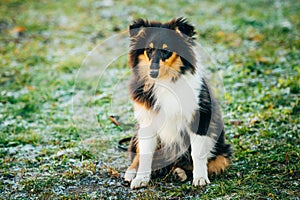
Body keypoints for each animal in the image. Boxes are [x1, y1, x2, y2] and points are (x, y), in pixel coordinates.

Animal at [123, 17, 231, 189]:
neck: (166, 82)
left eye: (167, 51)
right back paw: (132, 172)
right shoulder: (147, 121)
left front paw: (200, 178)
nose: (152, 73)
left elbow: (197, 153)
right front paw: (141, 178)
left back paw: (179, 172)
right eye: (148, 50)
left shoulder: (200, 117)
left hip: (221, 150)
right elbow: (145, 154)